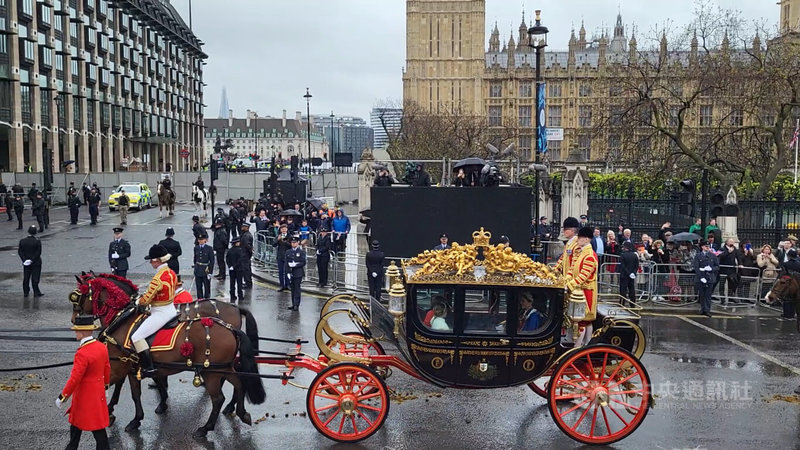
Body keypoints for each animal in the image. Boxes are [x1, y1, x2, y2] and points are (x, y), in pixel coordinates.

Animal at [72, 270, 266, 436]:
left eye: (77, 296)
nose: (75, 320)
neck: (124, 318)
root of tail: (233, 315)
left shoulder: (122, 365)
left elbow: (128, 390)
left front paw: (121, 413)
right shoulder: (140, 366)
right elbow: (145, 385)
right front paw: (157, 404)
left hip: (213, 371)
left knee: (219, 398)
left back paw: (206, 427)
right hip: (224, 367)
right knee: (239, 383)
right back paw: (239, 411)